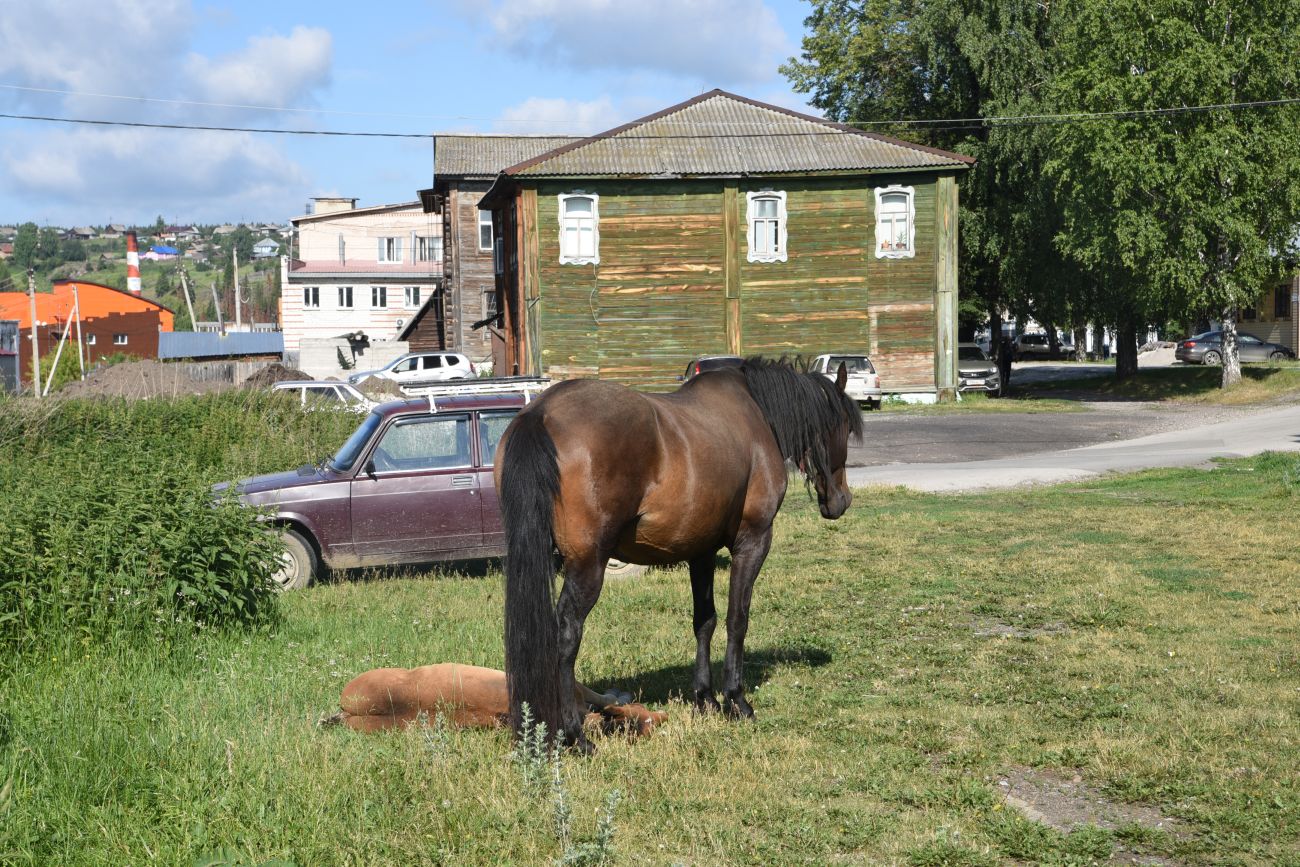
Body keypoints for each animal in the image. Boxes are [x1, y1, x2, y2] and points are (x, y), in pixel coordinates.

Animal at [493, 358, 863, 753]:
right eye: (843, 426)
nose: (841, 500)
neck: (755, 413)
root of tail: (541, 413)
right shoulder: (752, 541)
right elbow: (737, 619)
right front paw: (737, 700)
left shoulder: (701, 551)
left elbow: (705, 621)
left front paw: (705, 699)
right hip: (587, 566)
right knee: (566, 635)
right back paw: (576, 736)